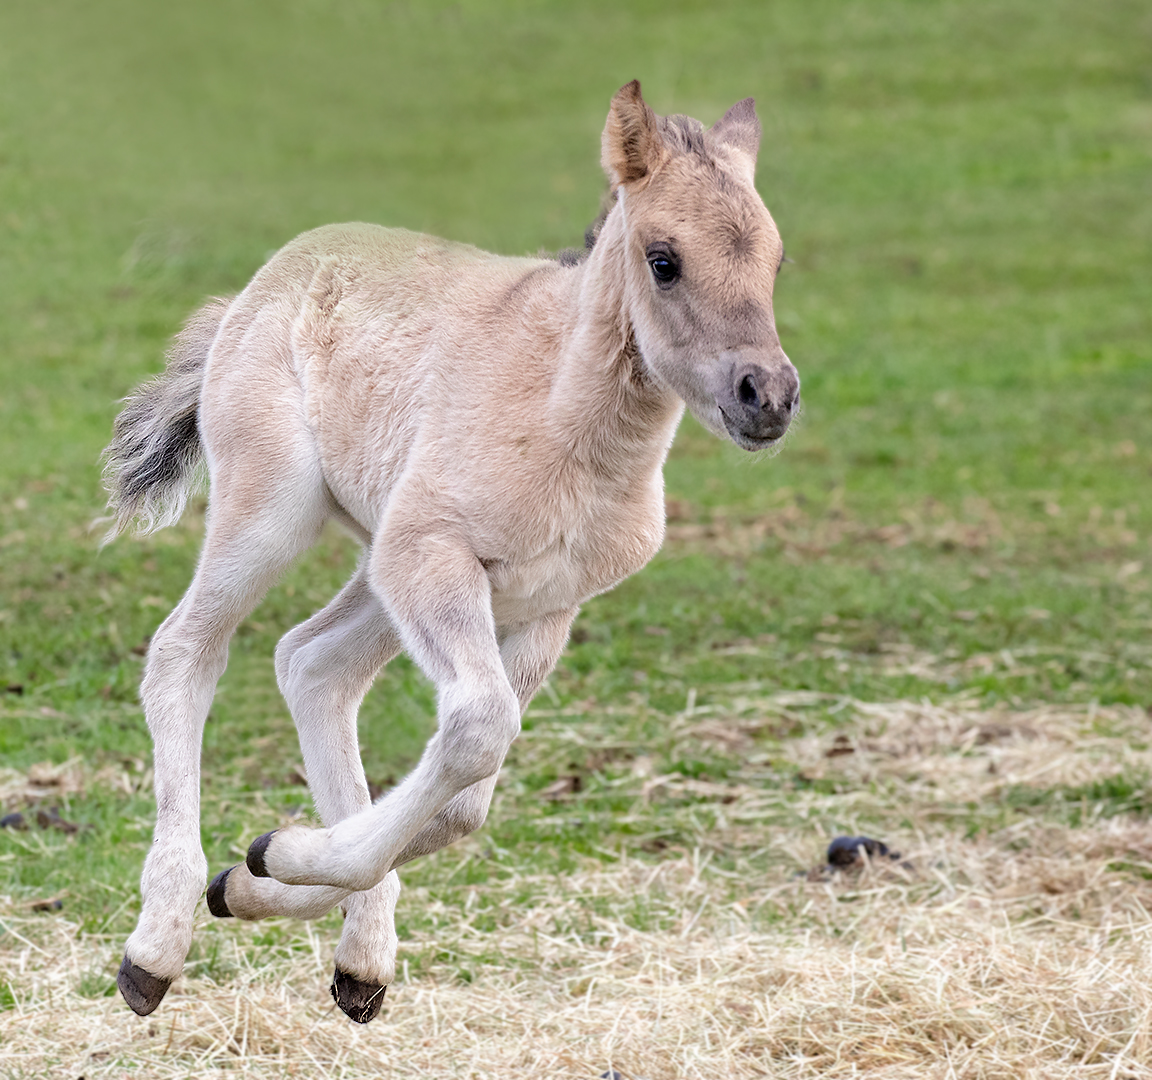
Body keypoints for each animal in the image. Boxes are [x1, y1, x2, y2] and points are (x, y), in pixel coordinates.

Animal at [101, 82, 801, 1017]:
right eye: (664, 260)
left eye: (776, 261)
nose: (769, 396)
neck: (566, 427)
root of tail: (256, 288)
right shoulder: (436, 558)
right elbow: (477, 730)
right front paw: (268, 861)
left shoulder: (545, 607)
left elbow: (469, 800)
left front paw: (265, 864)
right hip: (281, 517)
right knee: (186, 650)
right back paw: (158, 942)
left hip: (382, 563)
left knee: (312, 664)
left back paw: (350, 948)